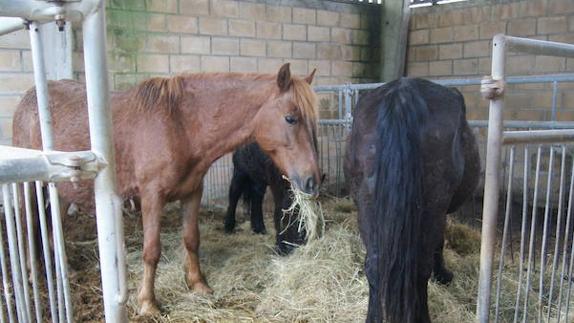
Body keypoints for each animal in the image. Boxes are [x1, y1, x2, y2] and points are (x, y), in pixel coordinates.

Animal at [13, 63, 322, 316]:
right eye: (291, 118)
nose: (312, 180)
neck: (179, 126)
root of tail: (27, 99)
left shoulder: (192, 192)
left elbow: (191, 239)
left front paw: (198, 284)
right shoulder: (152, 197)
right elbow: (152, 250)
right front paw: (148, 303)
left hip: (64, 189)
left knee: (54, 228)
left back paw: (65, 271)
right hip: (29, 186)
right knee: (28, 226)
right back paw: (31, 274)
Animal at [344, 78, 484, 323]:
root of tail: (401, 97)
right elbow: (439, 242)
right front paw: (443, 275)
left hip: (367, 205)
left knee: (375, 265)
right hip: (432, 207)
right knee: (419, 269)